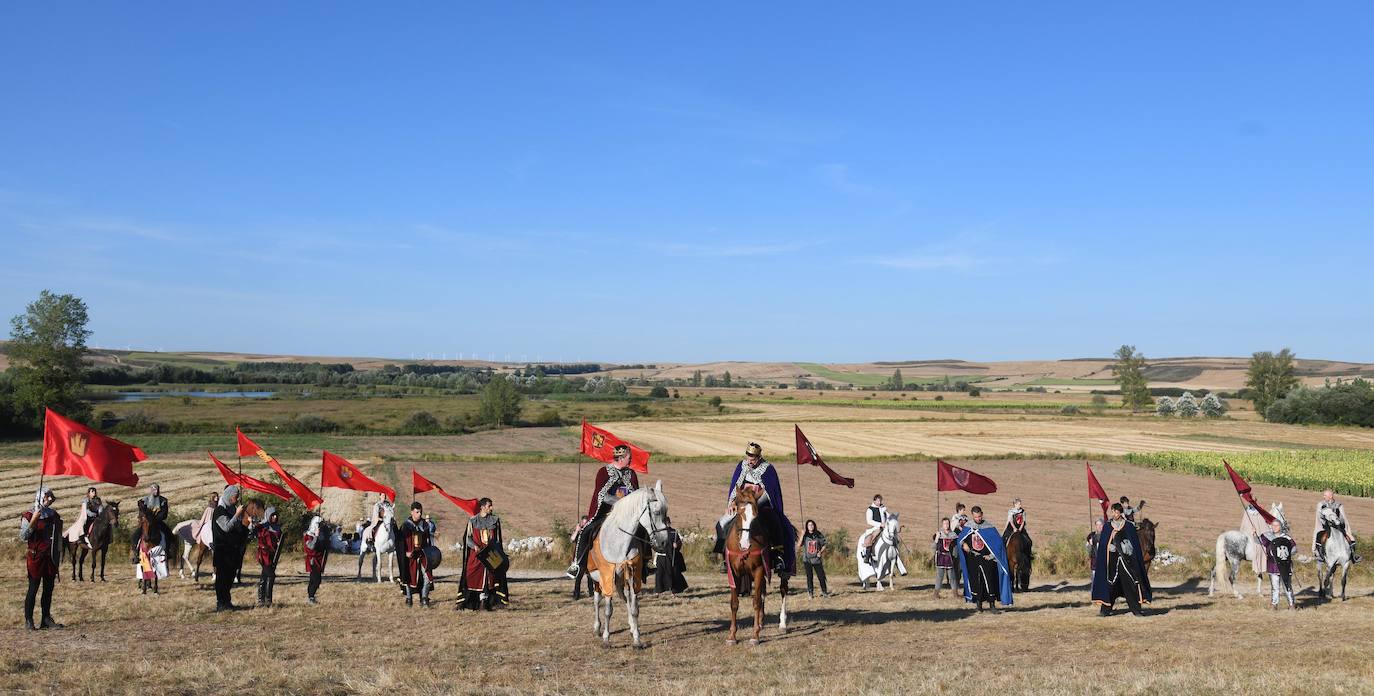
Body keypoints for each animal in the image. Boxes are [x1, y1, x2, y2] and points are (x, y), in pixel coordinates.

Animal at [585, 480, 670, 647]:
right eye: (656, 512)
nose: (664, 542)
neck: (619, 541)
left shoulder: (632, 573)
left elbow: (634, 607)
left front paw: (637, 638)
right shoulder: (607, 575)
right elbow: (608, 610)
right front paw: (606, 639)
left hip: (620, 579)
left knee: (626, 598)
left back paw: (631, 627)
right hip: (596, 578)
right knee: (597, 600)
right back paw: (597, 627)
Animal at [725, 485, 791, 647]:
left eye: (755, 517)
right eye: (738, 513)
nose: (745, 544)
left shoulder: (759, 570)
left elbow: (755, 602)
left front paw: (755, 636)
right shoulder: (733, 573)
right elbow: (734, 603)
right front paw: (732, 636)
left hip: (782, 570)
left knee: (783, 590)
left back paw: (782, 624)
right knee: (763, 593)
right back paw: (760, 622)